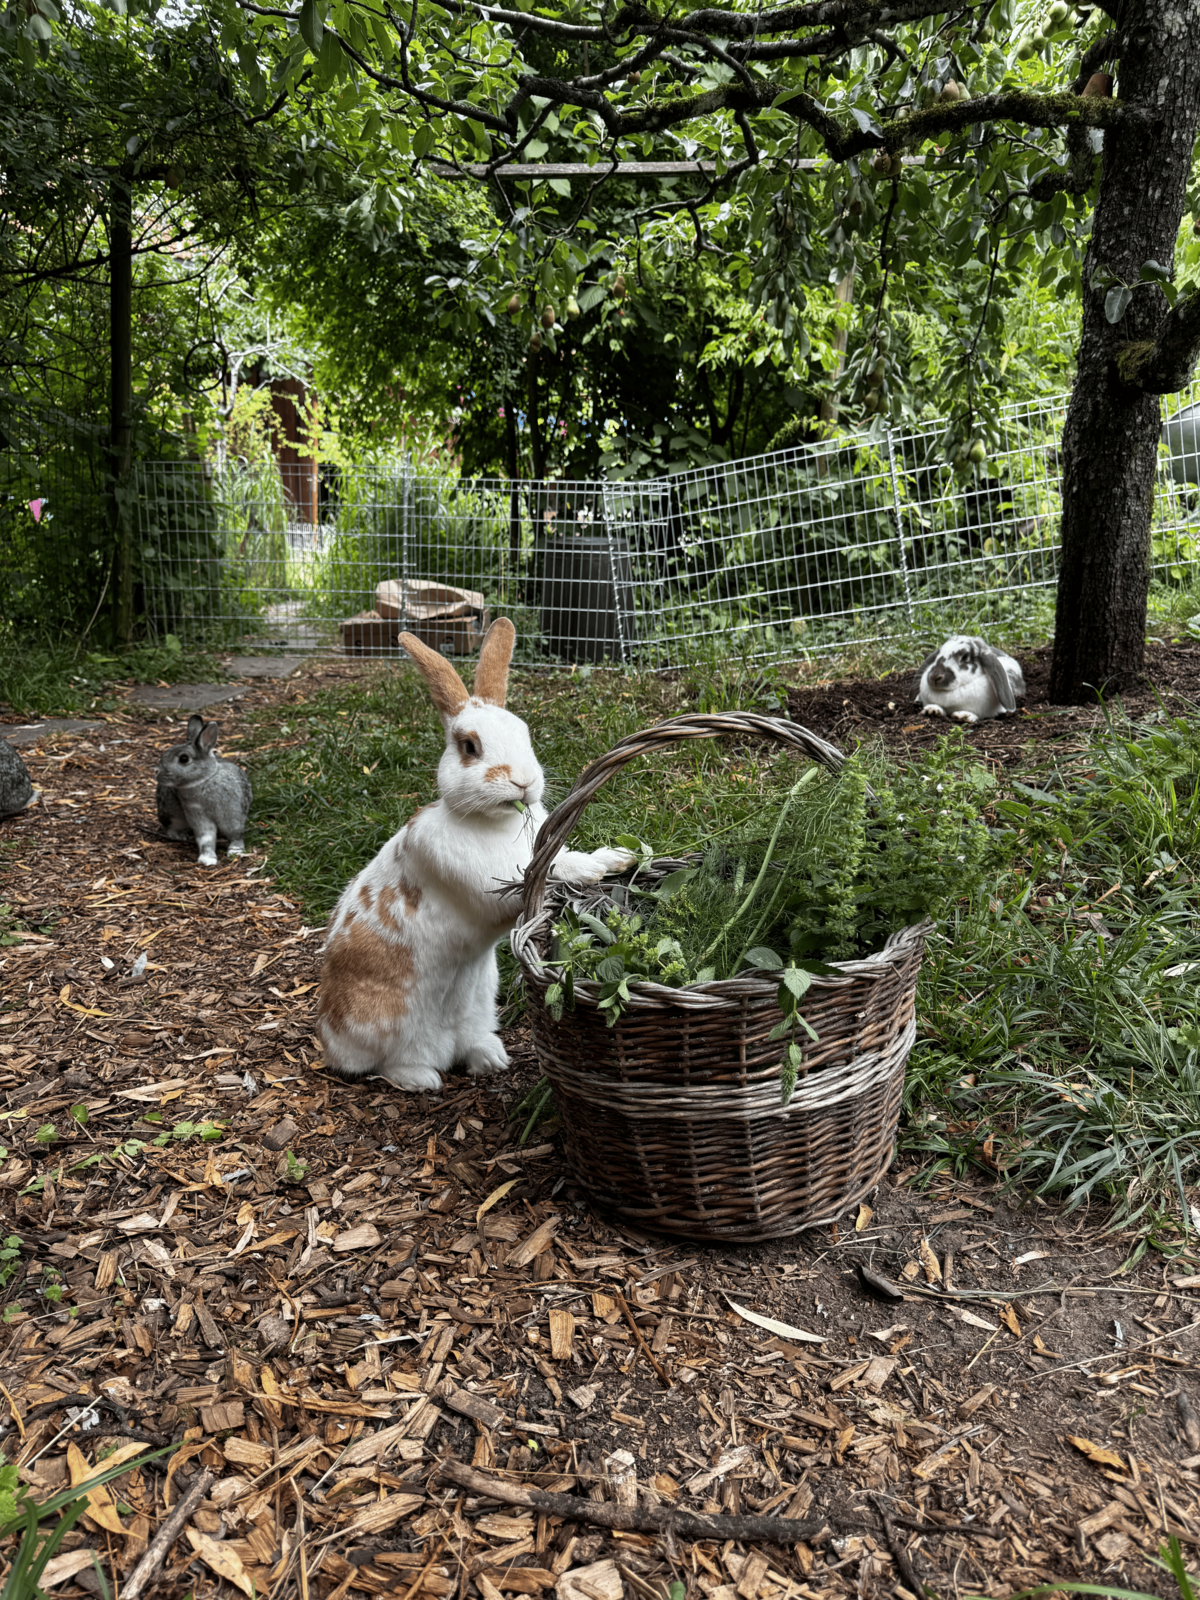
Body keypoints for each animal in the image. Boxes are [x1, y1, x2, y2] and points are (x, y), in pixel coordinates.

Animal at [156, 715, 253, 867]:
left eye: (184, 759)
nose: (158, 775)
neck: (204, 779)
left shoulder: (232, 813)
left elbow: (235, 833)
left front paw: (236, 851)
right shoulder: (197, 814)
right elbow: (206, 838)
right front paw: (207, 859)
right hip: (170, 811)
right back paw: (179, 835)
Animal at [317, 617, 635, 1094]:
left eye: (525, 734)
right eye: (469, 746)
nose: (523, 782)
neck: (491, 822)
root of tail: (326, 1036)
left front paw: (616, 859)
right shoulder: (483, 885)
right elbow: (538, 879)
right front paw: (590, 872)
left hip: (481, 1000)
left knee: (467, 1045)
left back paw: (491, 1058)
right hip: (379, 1025)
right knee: (387, 1065)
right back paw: (423, 1080)